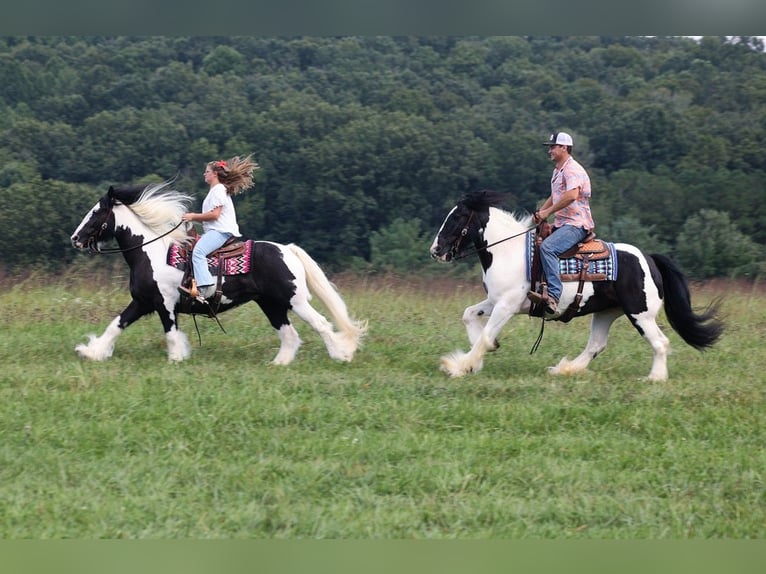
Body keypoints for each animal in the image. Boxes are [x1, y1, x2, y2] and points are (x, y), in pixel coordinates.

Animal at [70, 182, 368, 366]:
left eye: (96, 213)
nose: (75, 239)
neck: (150, 251)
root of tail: (287, 250)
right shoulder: (142, 302)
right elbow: (116, 325)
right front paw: (91, 352)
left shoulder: (164, 304)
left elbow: (170, 332)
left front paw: (176, 359)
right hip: (271, 304)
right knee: (289, 335)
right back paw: (278, 364)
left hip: (294, 300)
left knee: (321, 324)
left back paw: (342, 355)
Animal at [432, 191, 728, 384]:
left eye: (456, 218)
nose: (436, 250)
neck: (508, 252)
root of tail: (649, 259)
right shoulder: (494, 301)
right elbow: (469, 316)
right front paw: (480, 356)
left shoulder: (506, 305)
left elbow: (484, 335)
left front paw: (460, 366)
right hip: (606, 312)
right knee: (596, 345)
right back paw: (565, 369)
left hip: (640, 314)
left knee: (660, 342)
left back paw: (655, 378)